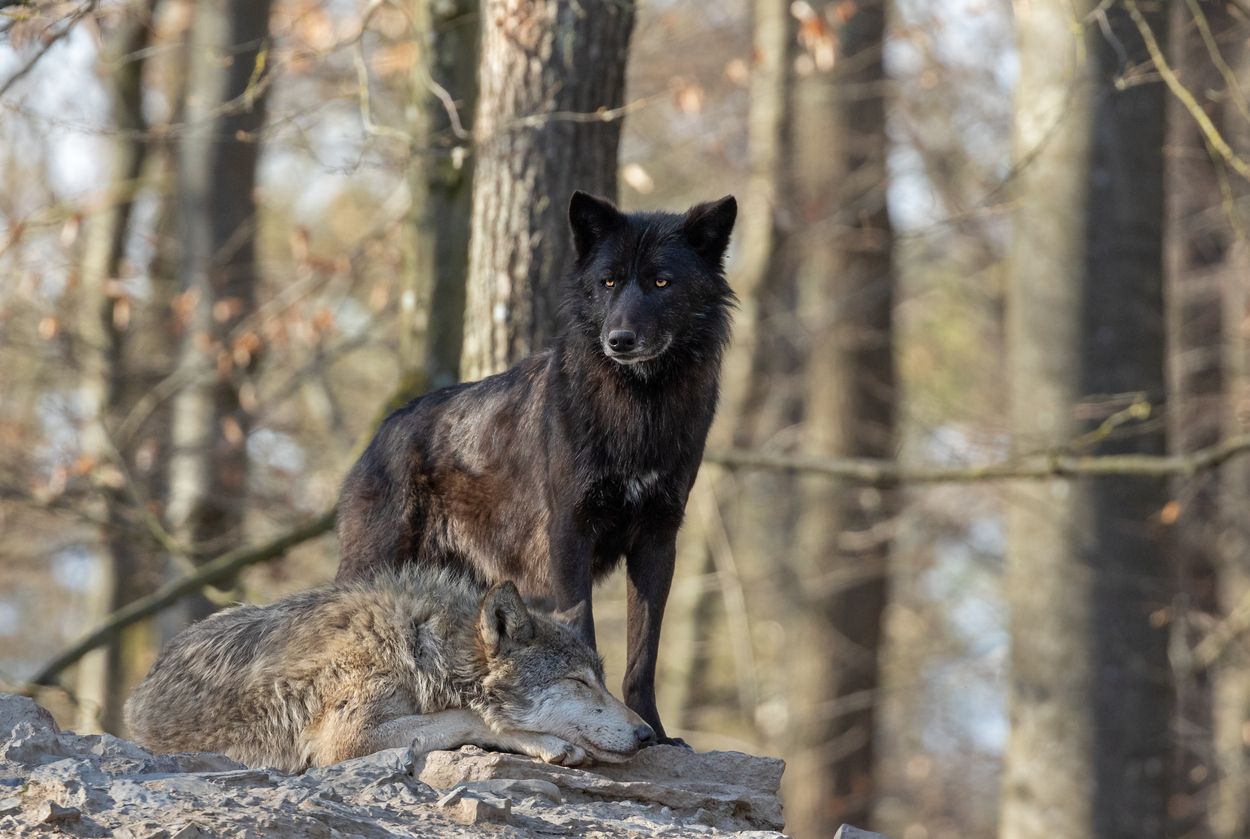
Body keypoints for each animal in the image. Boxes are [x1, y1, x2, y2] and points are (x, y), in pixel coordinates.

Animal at [124, 567, 656, 773]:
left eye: (601, 682)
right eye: (578, 682)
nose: (648, 734)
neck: (422, 649)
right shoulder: (344, 739)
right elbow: (473, 717)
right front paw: (545, 742)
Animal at [336, 191, 736, 742]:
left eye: (661, 282)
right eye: (608, 282)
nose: (620, 339)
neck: (638, 409)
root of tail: (380, 431)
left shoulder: (658, 538)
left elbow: (643, 654)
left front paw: (656, 731)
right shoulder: (569, 533)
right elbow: (583, 628)